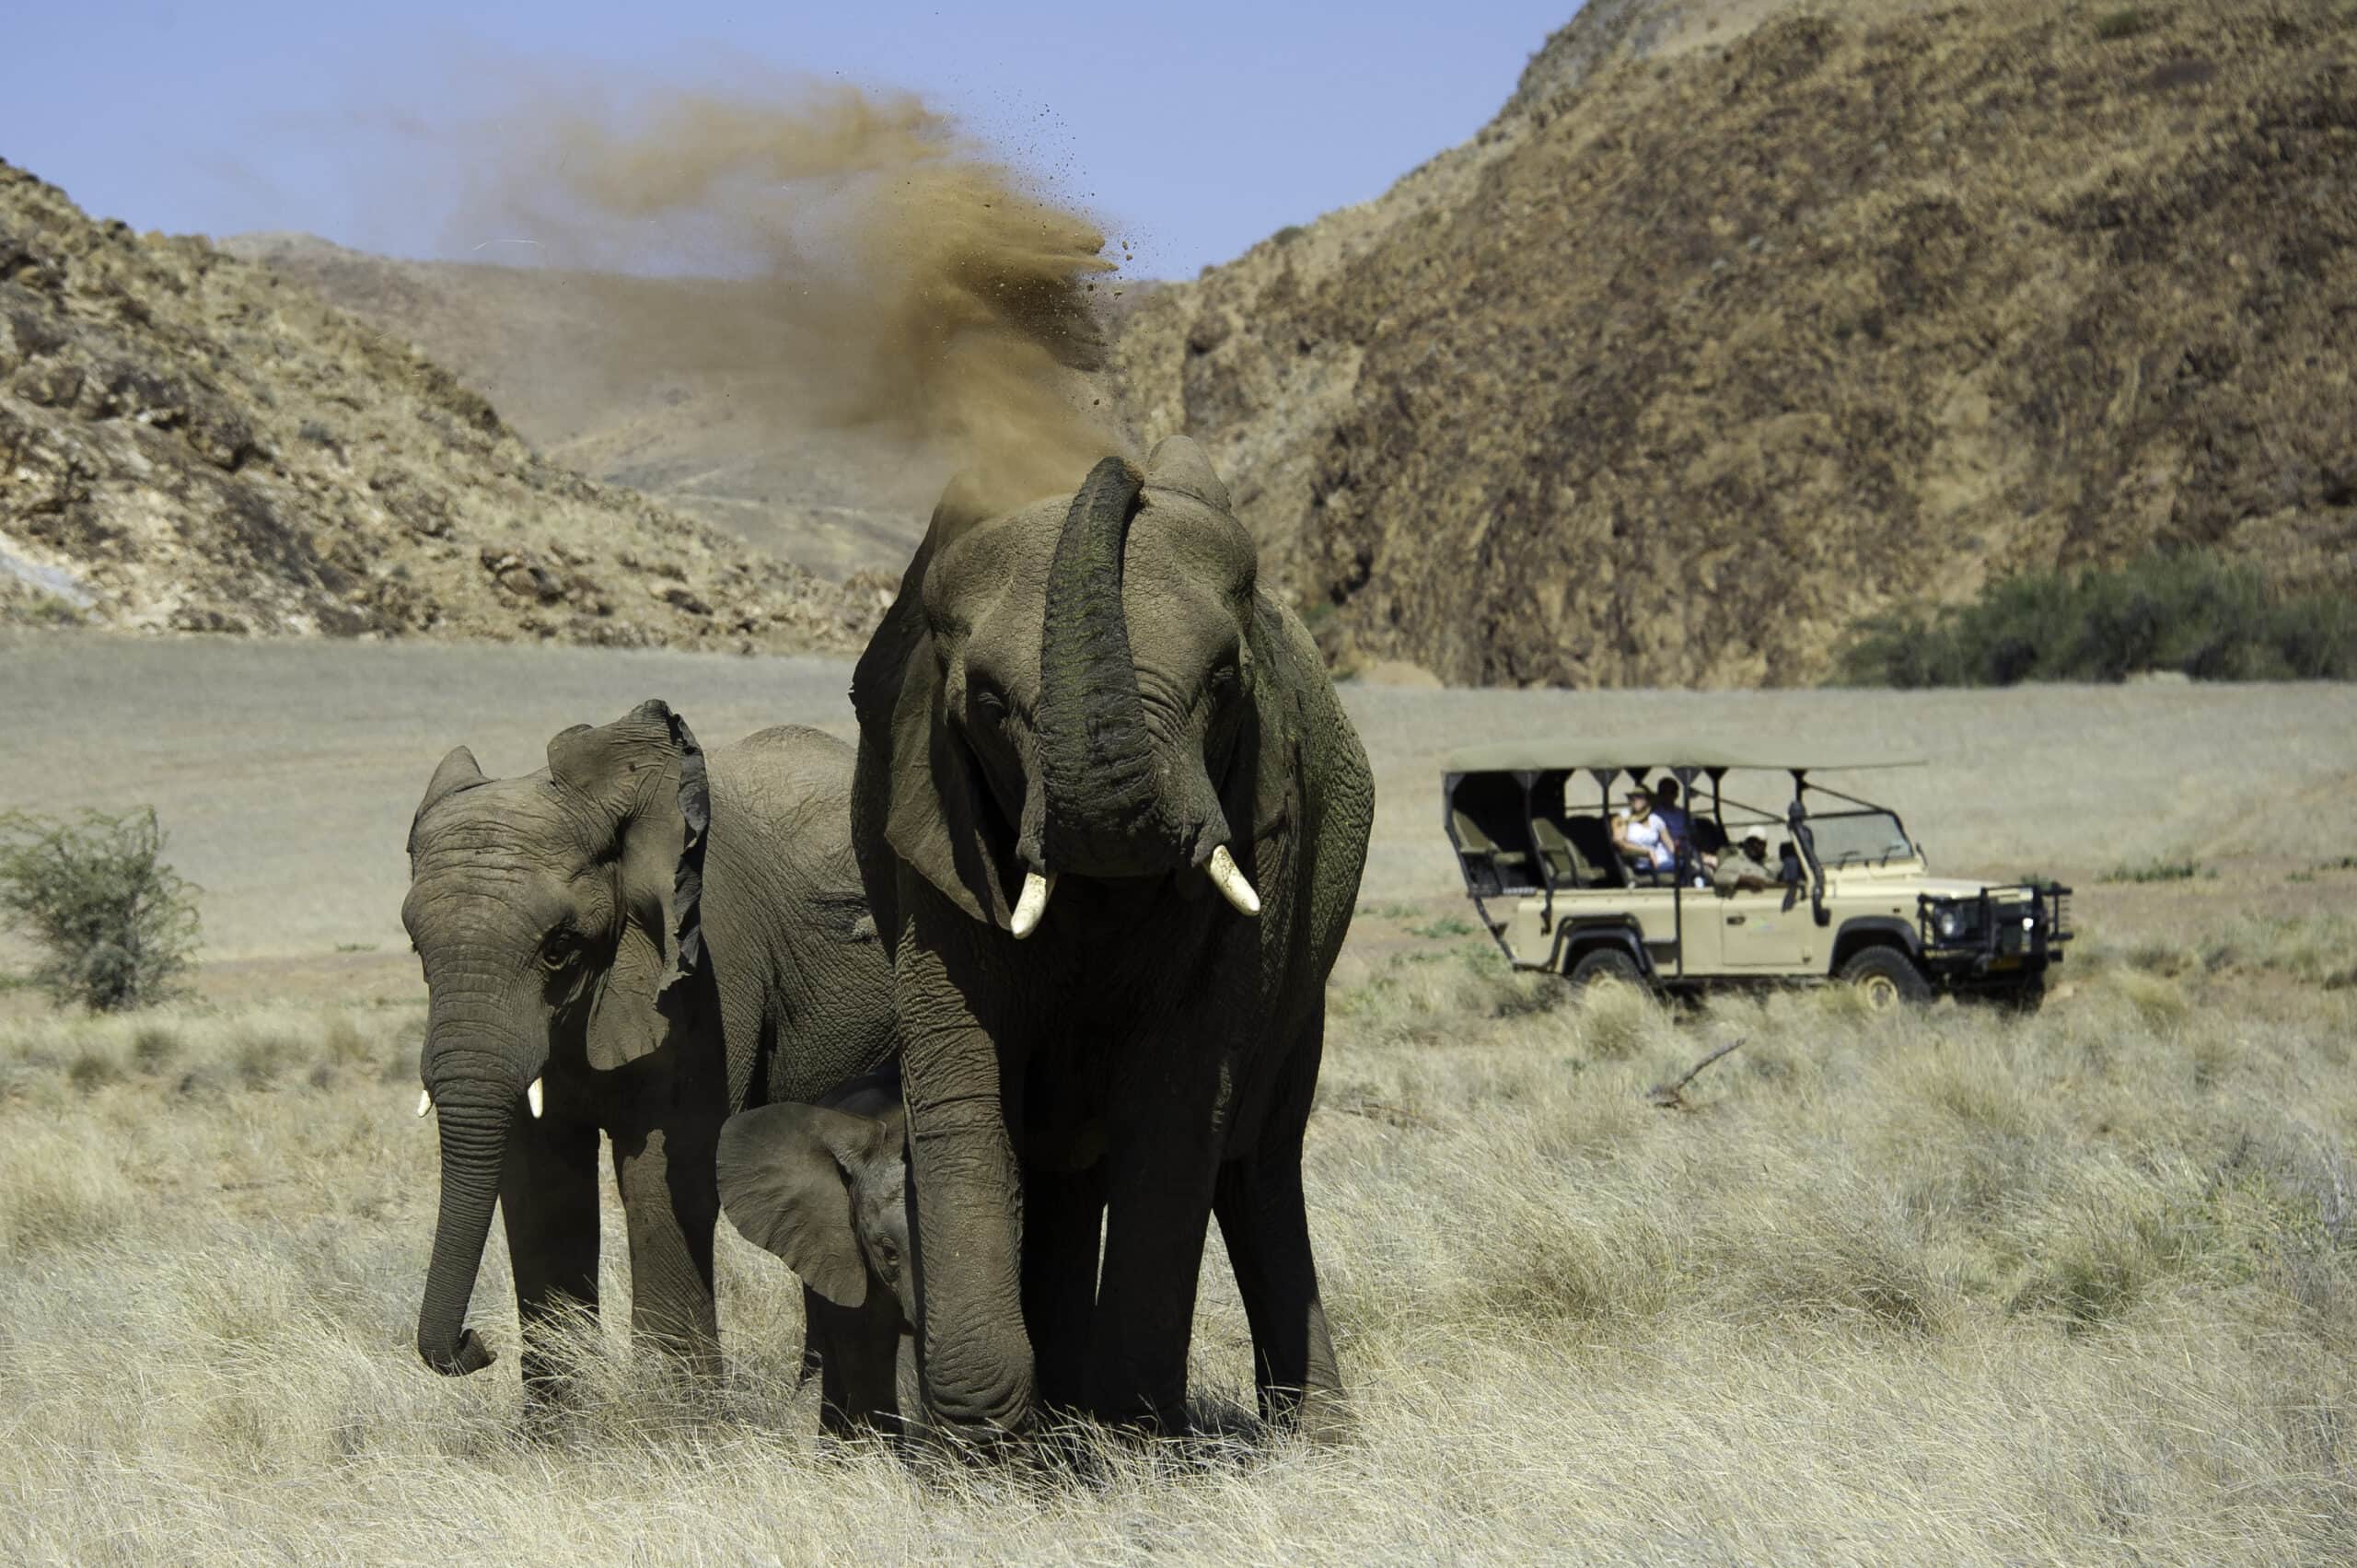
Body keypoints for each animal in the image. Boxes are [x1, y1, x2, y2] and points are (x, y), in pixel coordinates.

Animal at [401, 701, 895, 1393]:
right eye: (416, 947)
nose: (479, 1345)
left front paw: (675, 1415)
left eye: (558, 947)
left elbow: (668, 1171)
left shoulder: (705, 970)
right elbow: (541, 1184)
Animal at [847, 434, 1373, 1440]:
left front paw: (1132, 1437)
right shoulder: (933, 830)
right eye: (991, 706)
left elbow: (1179, 1101)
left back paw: (1314, 1436)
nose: (1125, 468)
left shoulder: (1263, 828)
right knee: (1065, 1165)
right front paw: (981, 1444)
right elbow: (962, 1084)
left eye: (1223, 684)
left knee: (1256, 1165)